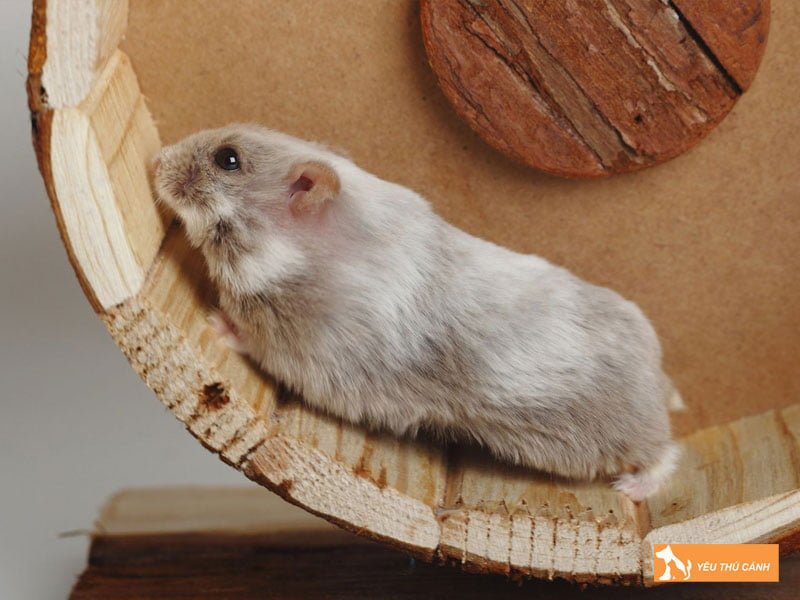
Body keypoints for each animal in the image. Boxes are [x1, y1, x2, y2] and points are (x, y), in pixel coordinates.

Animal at [154, 124, 681, 501]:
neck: (298, 257)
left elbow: (250, 339)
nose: (155, 159)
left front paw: (214, 321)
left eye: (228, 159)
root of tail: (658, 376)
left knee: (664, 451)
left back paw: (631, 488)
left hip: (626, 431)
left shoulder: (304, 354)